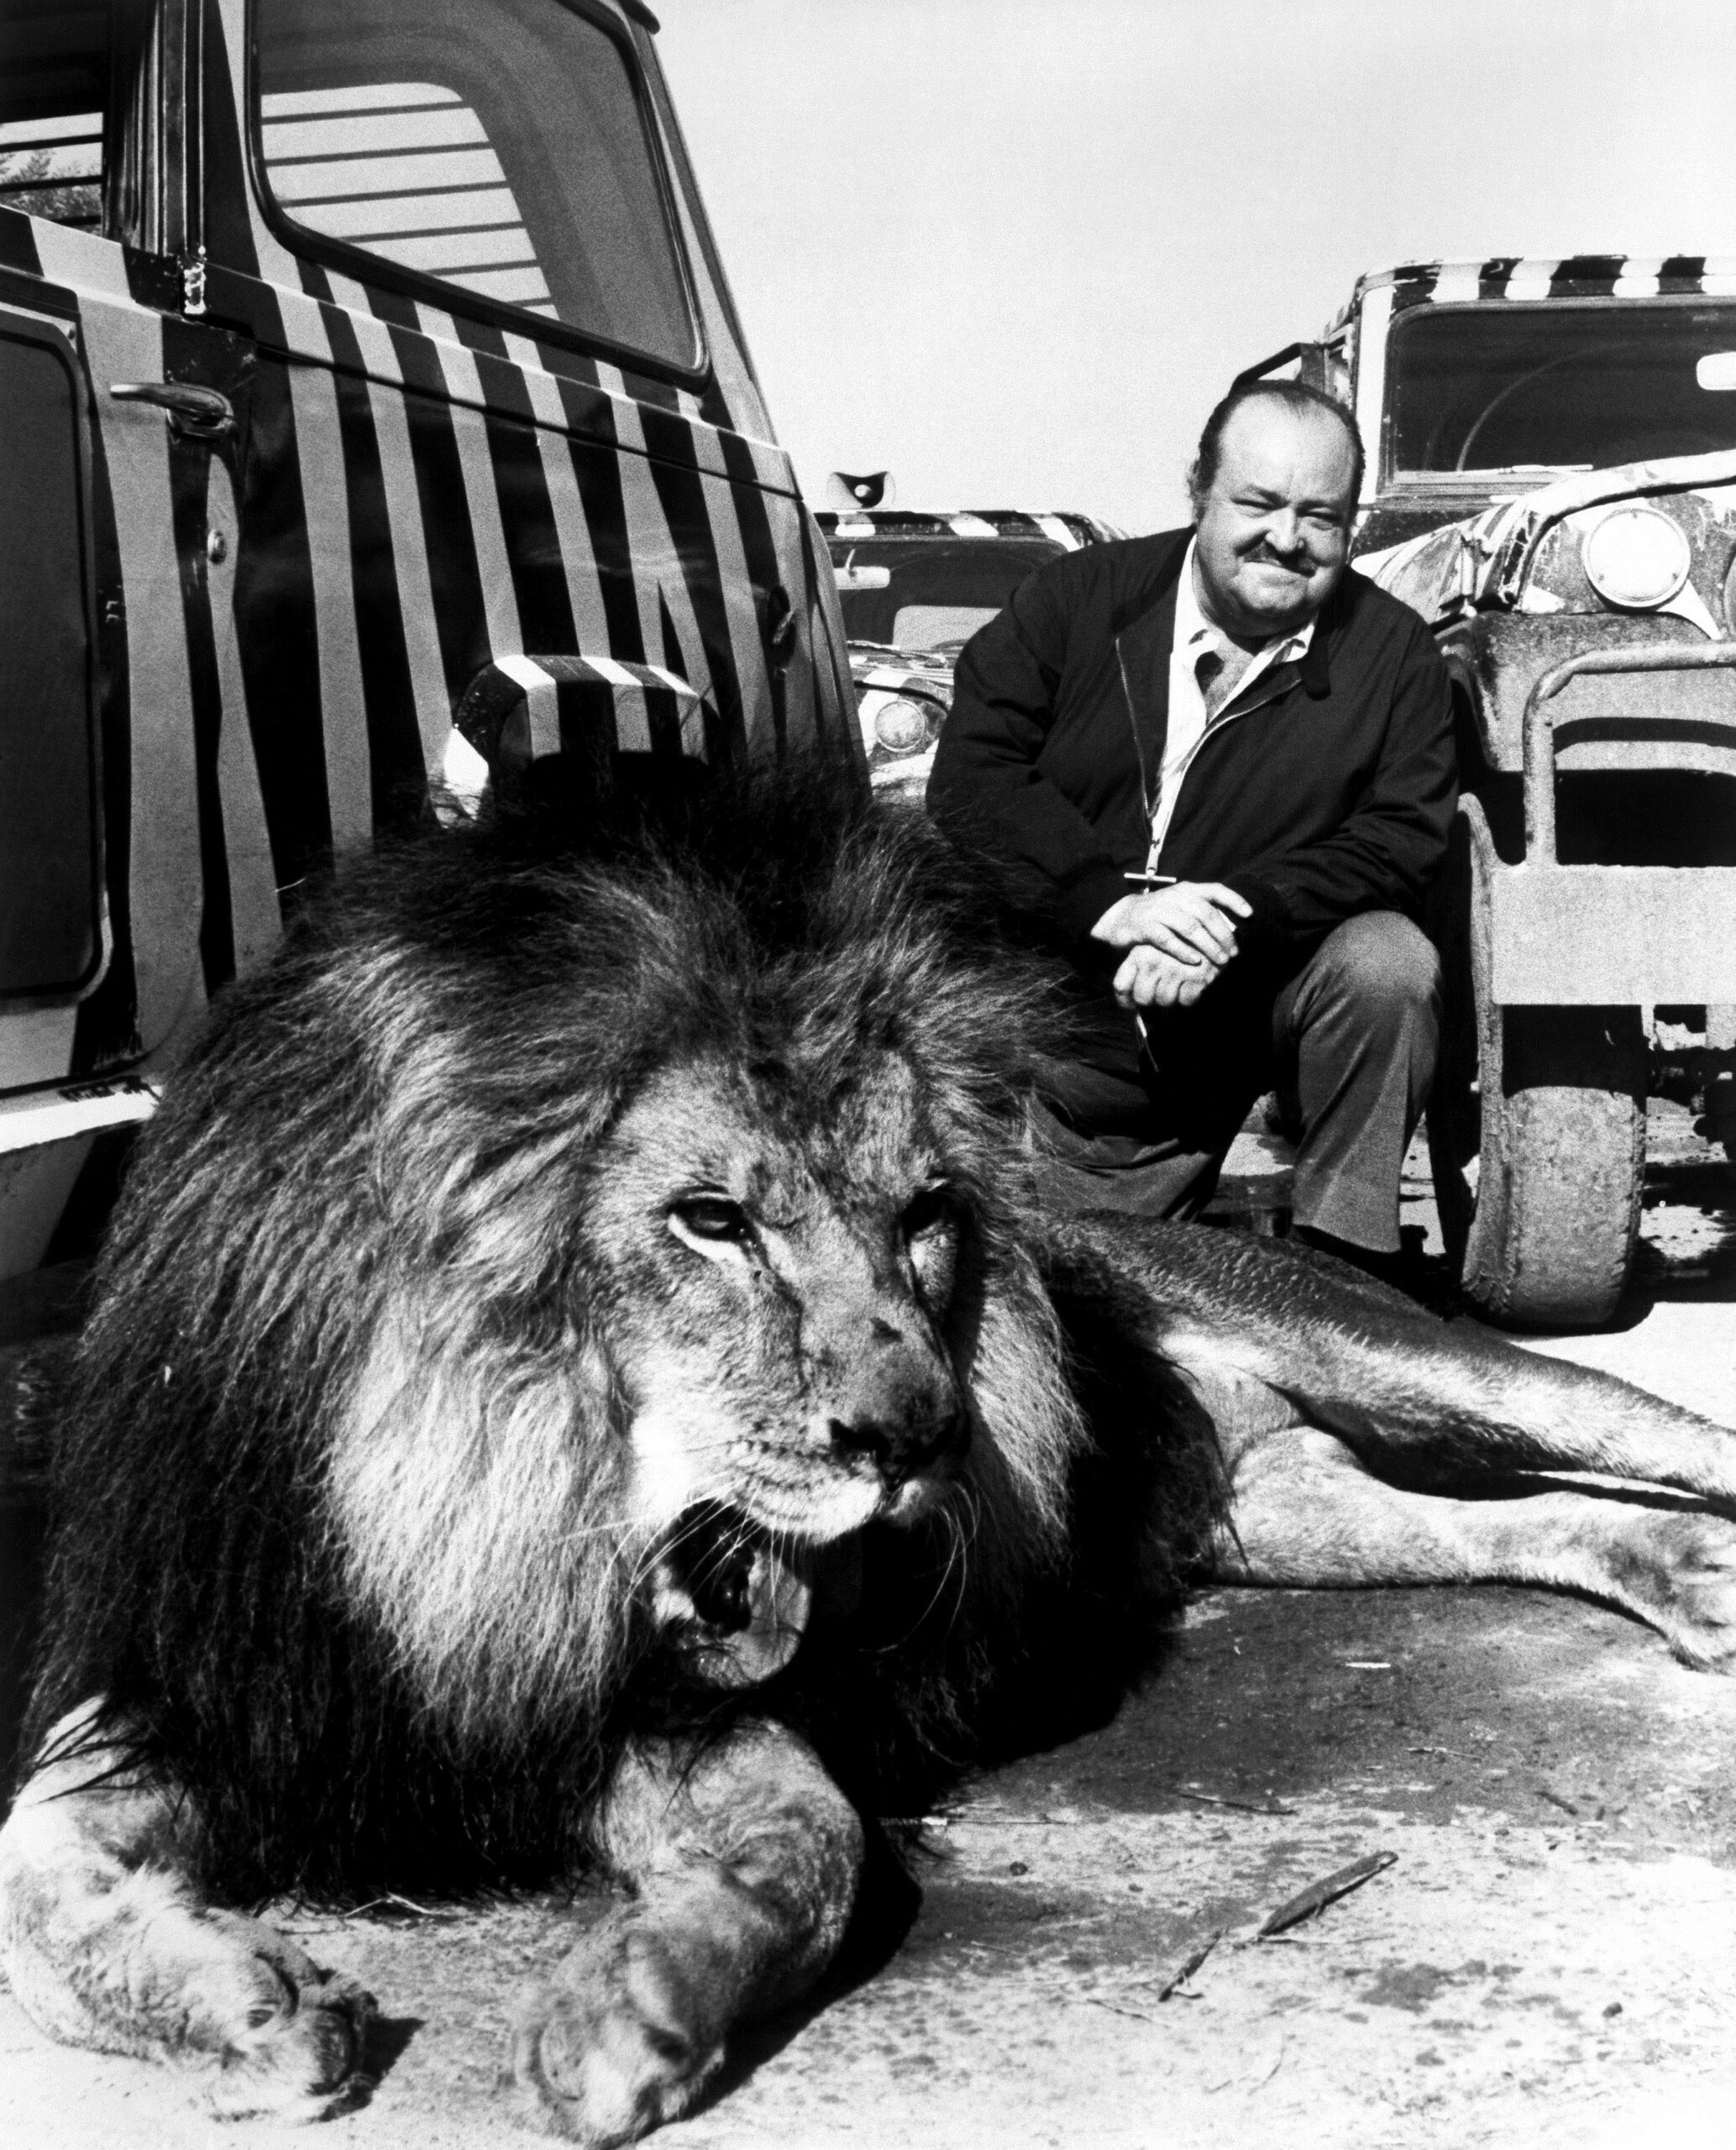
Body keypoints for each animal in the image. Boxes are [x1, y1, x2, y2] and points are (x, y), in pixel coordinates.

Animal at [3, 769, 1736, 2132]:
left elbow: (821, 1848)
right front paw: (254, 2008)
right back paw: (1697, 1579)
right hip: (1283, 1512)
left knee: (1652, 1435)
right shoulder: (235, 1689)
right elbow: (29, 1866)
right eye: (711, 1222)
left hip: (1412, 1357)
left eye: (926, 1219)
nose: (924, 1439)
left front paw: (626, 2015)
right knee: (1507, 1516)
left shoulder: (660, 1705)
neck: (490, 1519)